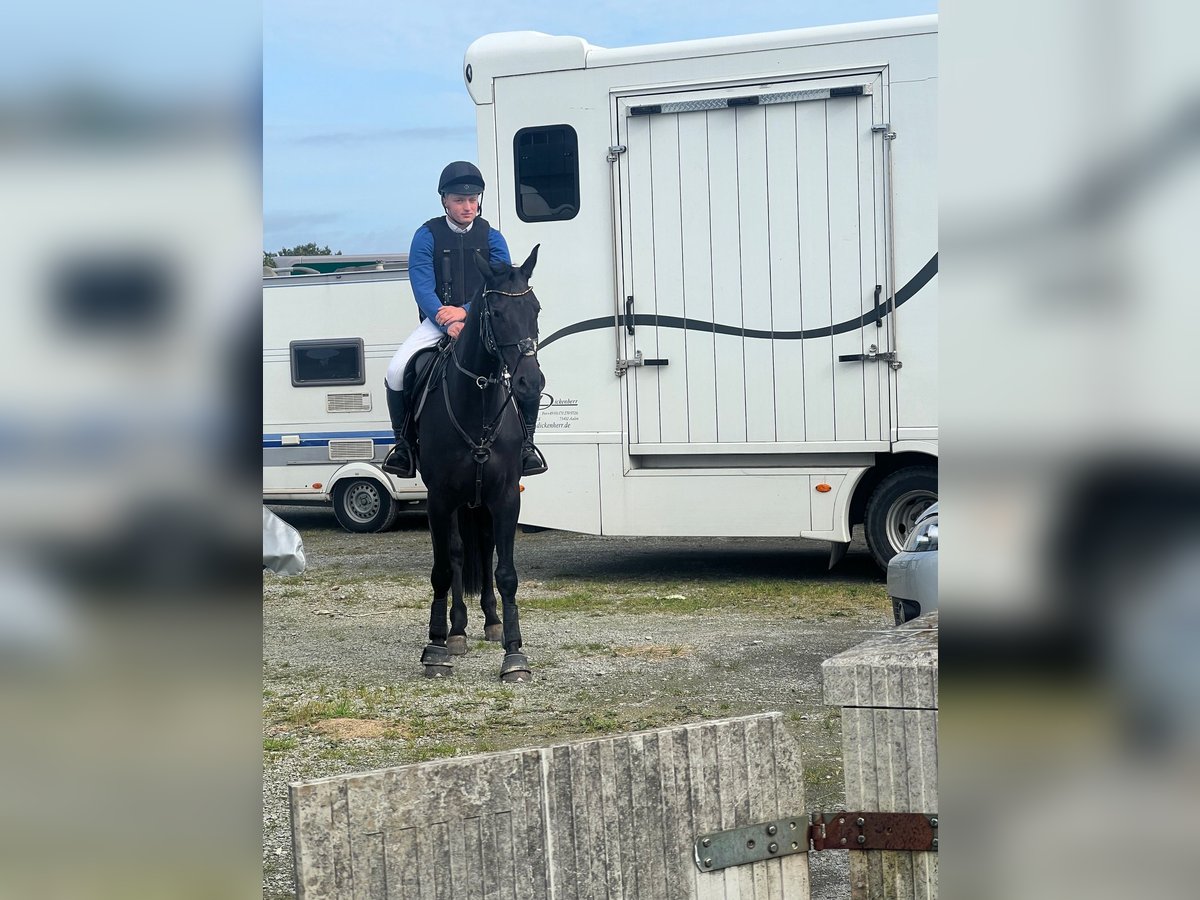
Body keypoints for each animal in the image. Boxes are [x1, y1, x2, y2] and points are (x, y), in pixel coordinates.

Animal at [412, 247, 544, 681]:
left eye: (536, 308)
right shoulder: (439, 500)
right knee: (455, 555)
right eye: (497, 312)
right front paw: (436, 647)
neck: (477, 406)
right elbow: (442, 569)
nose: (530, 384)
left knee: (484, 550)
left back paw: (491, 622)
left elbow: (506, 573)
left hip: (481, 503)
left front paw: (514, 653)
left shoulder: (505, 497)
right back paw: (456, 631)